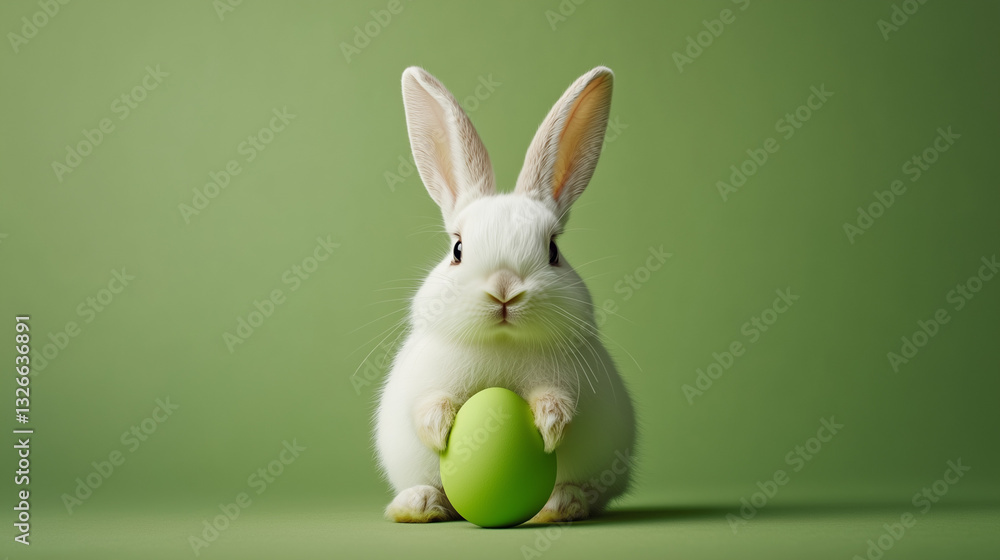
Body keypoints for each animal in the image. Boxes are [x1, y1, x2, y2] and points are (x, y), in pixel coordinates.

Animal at [375, 66, 636, 523]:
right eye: (457, 250)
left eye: (553, 251)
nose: (504, 290)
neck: (502, 344)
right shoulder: (423, 384)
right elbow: (425, 406)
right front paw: (440, 429)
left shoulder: (576, 387)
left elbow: (562, 403)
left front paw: (549, 424)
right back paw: (418, 506)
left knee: (589, 491)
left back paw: (564, 504)